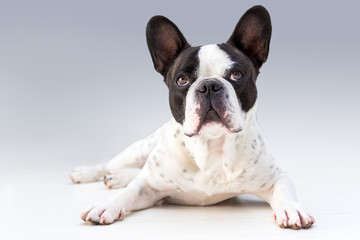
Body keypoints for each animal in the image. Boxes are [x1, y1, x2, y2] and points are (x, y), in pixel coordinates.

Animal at [69, 5, 314, 229]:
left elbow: (284, 191)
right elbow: (129, 193)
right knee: (112, 164)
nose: (209, 86)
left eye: (237, 75)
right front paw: (106, 205)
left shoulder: (275, 178)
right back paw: (89, 172)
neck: (212, 146)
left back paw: (118, 176)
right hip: (138, 149)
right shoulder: (147, 187)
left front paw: (292, 209)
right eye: (182, 80)